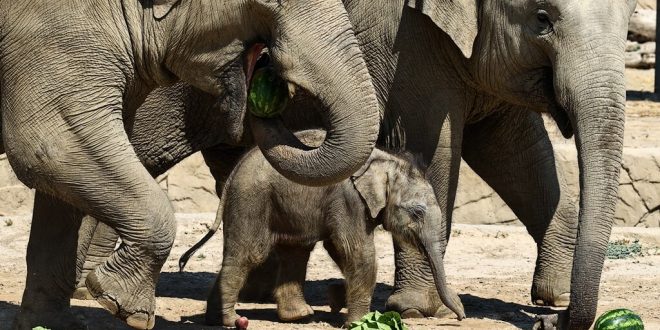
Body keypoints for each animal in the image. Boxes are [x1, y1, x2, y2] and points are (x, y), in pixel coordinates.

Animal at [0, 1, 378, 328]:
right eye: (268, 5)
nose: (267, 67)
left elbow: (61, 191)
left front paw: (53, 325)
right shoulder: (53, 34)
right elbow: (51, 148)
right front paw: (124, 307)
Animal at [180, 130, 464, 326]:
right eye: (417, 212)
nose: (460, 316)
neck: (386, 160)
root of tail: (235, 170)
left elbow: (338, 248)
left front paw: (337, 298)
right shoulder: (348, 198)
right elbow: (355, 250)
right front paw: (357, 323)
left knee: (295, 251)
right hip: (252, 198)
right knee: (250, 253)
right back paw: (230, 320)